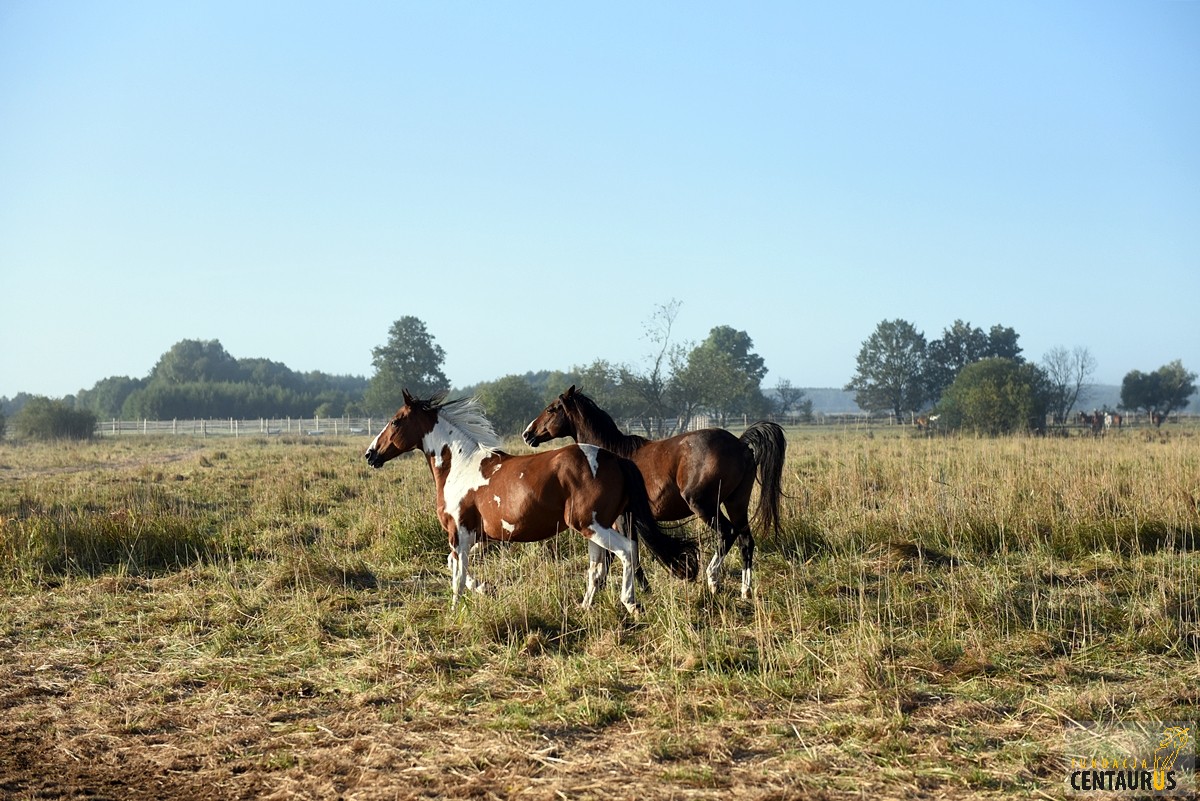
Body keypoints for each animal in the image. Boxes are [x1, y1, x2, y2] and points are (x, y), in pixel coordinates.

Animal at [367, 390, 700, 609]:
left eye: (396, 422)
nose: (371, 454)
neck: (459, 465)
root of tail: (614, 459)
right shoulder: (480, 536)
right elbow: (455, 565)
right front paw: (486, 589)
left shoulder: (458, 532)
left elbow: (458, 576)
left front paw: (455, 610)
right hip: (596, 528)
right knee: (597, 570)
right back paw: (584, 609)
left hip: (591, 526)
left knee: (627, 551)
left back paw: (631, 603)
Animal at [518, 383, 782, 597]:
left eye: (552, 409)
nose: (527, 434)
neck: (608, 455)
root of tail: (740, 444)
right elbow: (617, 554)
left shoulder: (622, 518)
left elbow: (626, 552)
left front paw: (638, 590)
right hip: (736, 503)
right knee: (746, 540)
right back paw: (745, 591)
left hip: (704, 505)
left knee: (727, 533)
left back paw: (713, 580)